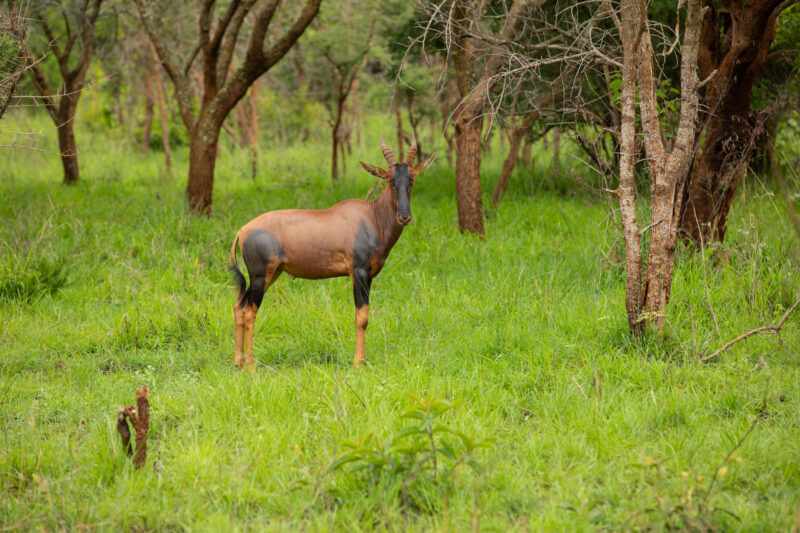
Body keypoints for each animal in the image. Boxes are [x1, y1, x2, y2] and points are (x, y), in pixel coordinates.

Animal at [228, 136, 433, 369]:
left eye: (412, 178)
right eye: (389, 179)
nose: (404, 217)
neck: (371, 217)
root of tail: (242, 230)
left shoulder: (369, 276)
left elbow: (365, 316)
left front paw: (362, 360)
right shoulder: (358, 272)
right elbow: (361, 317)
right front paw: (358, 363)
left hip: (271, 275)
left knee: (238, 307)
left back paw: (238, 362)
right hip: (260, 275)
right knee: (249, 311)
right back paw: (251, 366)